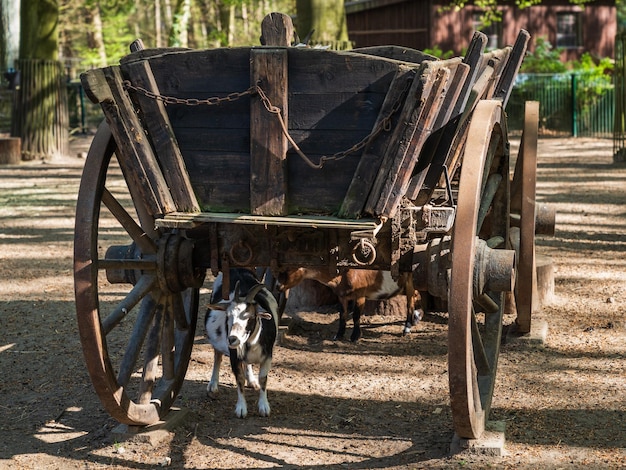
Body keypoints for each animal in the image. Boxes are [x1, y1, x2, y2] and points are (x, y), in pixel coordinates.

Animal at [205, 268, 278, 418]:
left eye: (250, 316)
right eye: (228, 316)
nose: (232, 339)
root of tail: (238, 268)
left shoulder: (268, 356)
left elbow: (263, 379)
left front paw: (264, 406)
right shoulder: (234, 357)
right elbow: (239, 379)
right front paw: (241, 408)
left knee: (247, 363)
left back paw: (252, 381)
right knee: (217, 357)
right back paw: (213, 384)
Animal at [276, 268, 422, 342]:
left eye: (287, 270)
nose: (277, 286)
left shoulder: (360, 295)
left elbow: (356, 315)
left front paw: (355, 337)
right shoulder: (342, 296)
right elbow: (343, 315)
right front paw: (338, 336)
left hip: (409, 282)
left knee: (410, 302)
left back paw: (407, 328)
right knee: (416, 294)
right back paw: (416, 317)